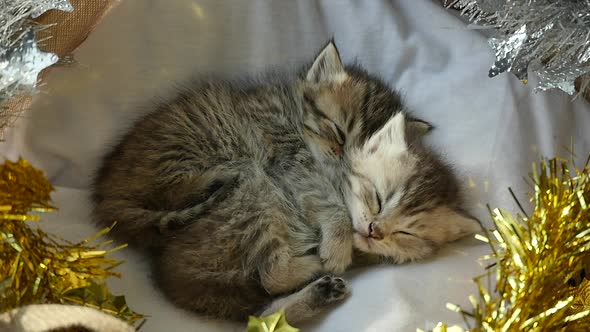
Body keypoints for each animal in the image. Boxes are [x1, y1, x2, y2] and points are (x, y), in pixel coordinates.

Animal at [92, 41, 480, 324]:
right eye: (339, 131)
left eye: (406, 232)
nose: (342, 156)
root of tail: (106, 197)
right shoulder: (290, 166)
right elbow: (334, 210)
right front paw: (338, 248)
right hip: (244, 184)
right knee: (269, 273)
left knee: (262, 310)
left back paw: (319, 290)